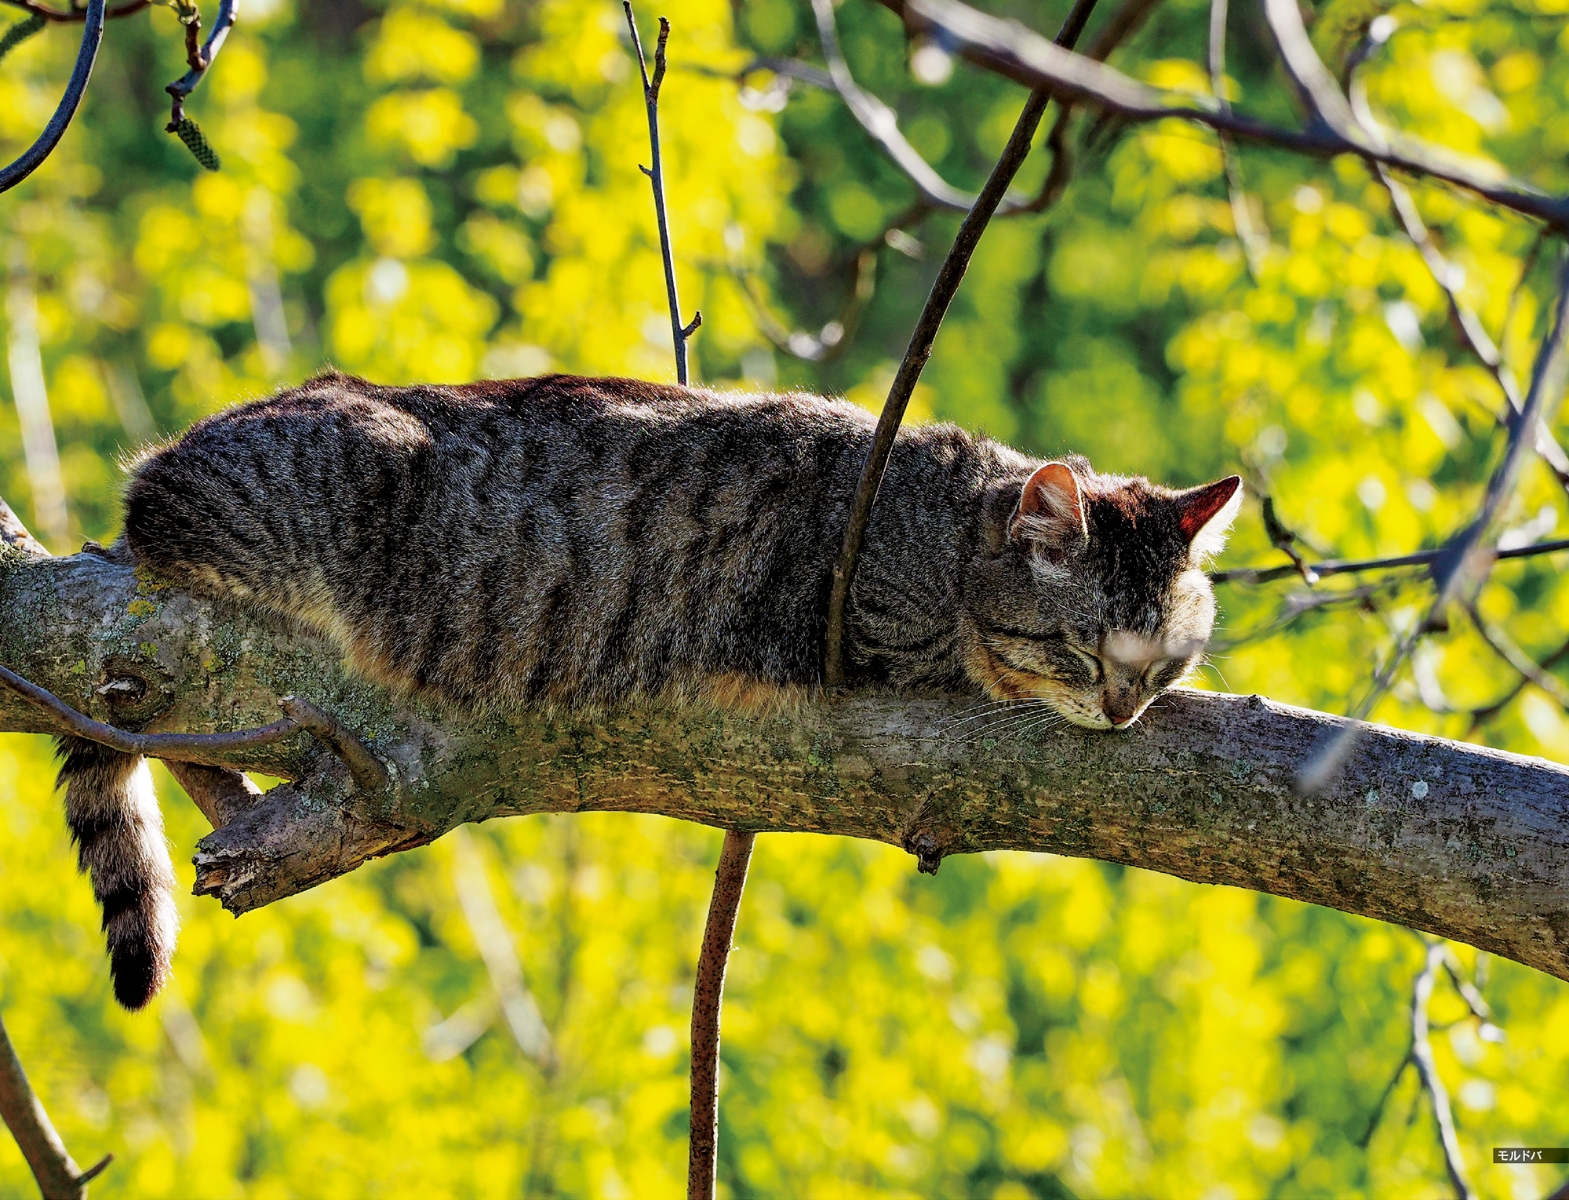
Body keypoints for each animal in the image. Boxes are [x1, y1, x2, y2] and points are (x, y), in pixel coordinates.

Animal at [58, 370, 1236, 1003]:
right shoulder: (868, 631)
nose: (1124, 709)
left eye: (1162, 661)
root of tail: (147, 487)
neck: (945, 526)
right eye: (1082, 651)